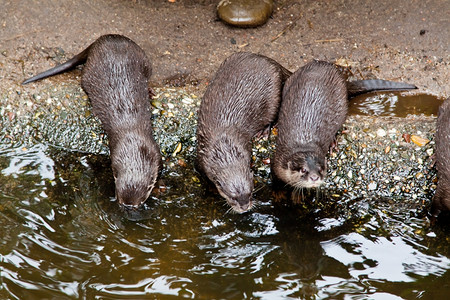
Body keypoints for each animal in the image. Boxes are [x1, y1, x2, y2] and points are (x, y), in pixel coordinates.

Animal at [22, 34, 162, 209]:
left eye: (141, 200)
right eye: (118, 195)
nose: (128, 207)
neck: (134, 143)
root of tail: (103, 39)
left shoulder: (155, 153)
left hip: (143, 59)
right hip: (89, 71)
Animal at [195, 52, 290, 213]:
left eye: (250, 193)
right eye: (233, 197)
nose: (245, 207)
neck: (224, 148)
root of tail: (273, 63)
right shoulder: (201, 158)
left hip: (274, 95)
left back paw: (263, 131)